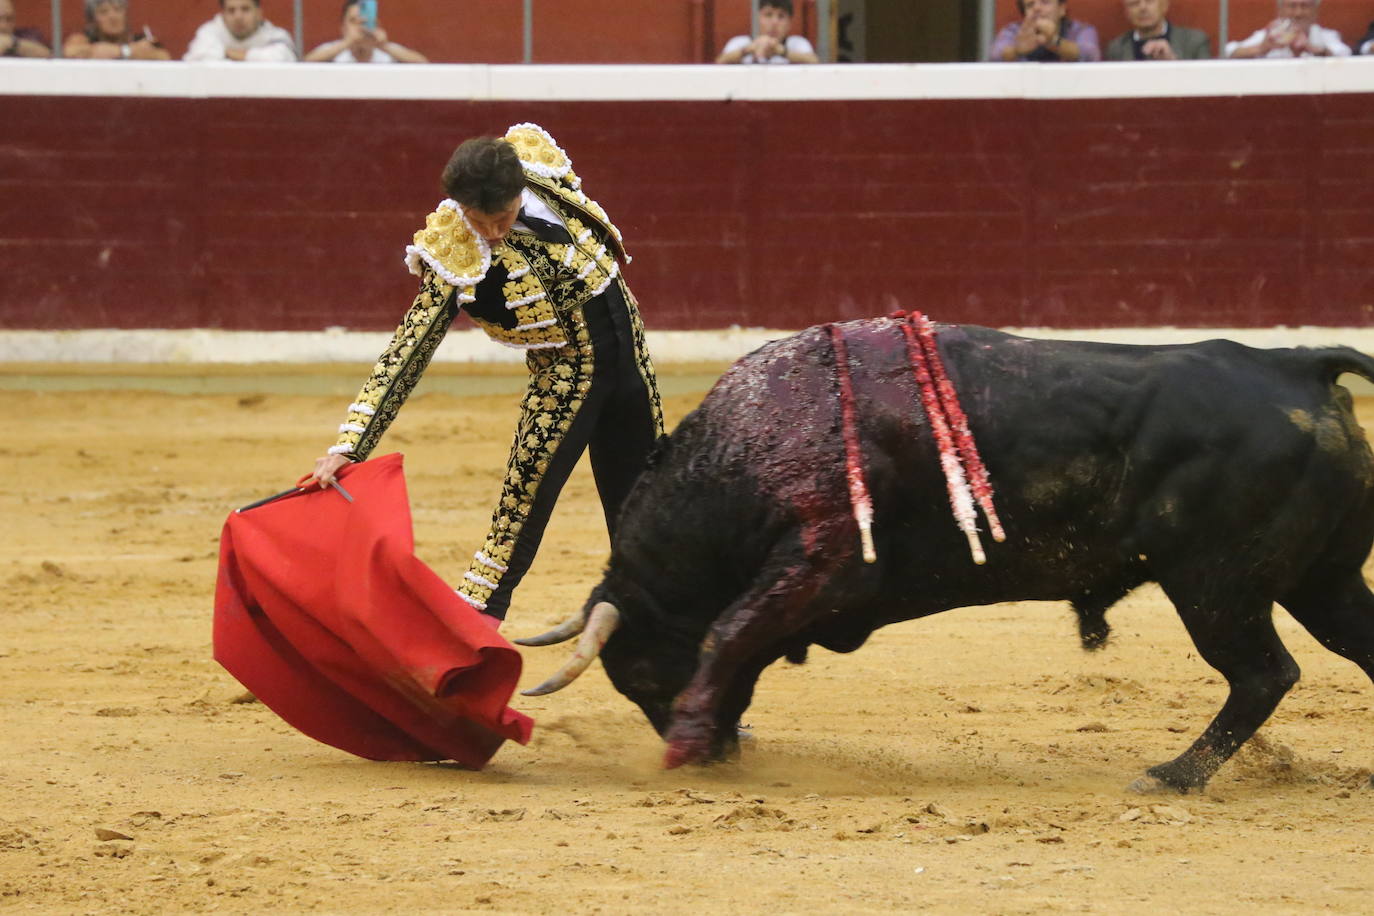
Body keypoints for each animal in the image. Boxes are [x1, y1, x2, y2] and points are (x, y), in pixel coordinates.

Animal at [516, 318, 1374, 791]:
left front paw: (687, 741)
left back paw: (1171, 777)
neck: (756, 441)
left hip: (1214, 585)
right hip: (1322, 579)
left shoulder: (823, 560)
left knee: (1263, 674)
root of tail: (1293, 364)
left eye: (641, 678)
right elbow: (738, 642)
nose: (714, 755)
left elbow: (729, 632)